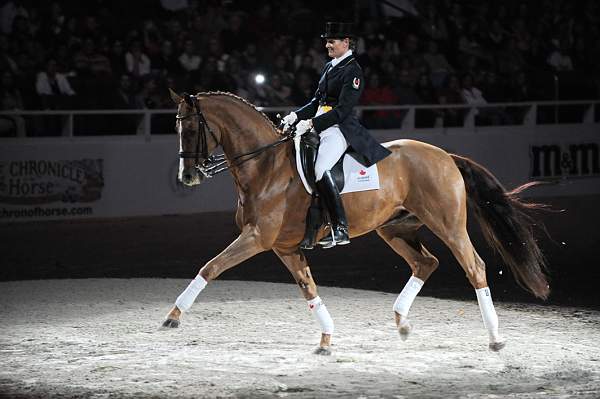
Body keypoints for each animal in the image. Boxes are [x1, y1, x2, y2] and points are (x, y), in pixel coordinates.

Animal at [163, 91, 548, 356]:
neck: (266, 166)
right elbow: (309, 290)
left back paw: (495, 338)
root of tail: (445, 156)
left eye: (193, 127)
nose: (187, 176)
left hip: (448, 224)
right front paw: (326, 339)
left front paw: (173, 316)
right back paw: (402, 322)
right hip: (394, 228)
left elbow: (211, 267)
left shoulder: (257, 237)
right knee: (426, 262)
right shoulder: (284, 247)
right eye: (176, 126)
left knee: (474, 266)